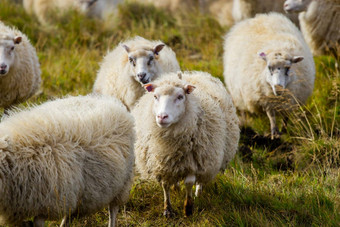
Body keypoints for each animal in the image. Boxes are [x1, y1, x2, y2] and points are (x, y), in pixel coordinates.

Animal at [0, 94, 135, 227]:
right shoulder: (17, 209)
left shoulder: (47, 203)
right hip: (76, 194)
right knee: (70, 214)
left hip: (122, 185)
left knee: (113, 209)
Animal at [132, 72, 239, 217]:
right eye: (155, 96)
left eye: (180, 96)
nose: (162, 117)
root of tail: (191, 74)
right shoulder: (162, 163)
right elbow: (165, 185)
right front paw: (168, 210)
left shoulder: (194, 161)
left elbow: (189, 183)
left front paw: (188, 208)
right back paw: (176, 188)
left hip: (206, 159)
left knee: (200, 180)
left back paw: (198, 193)